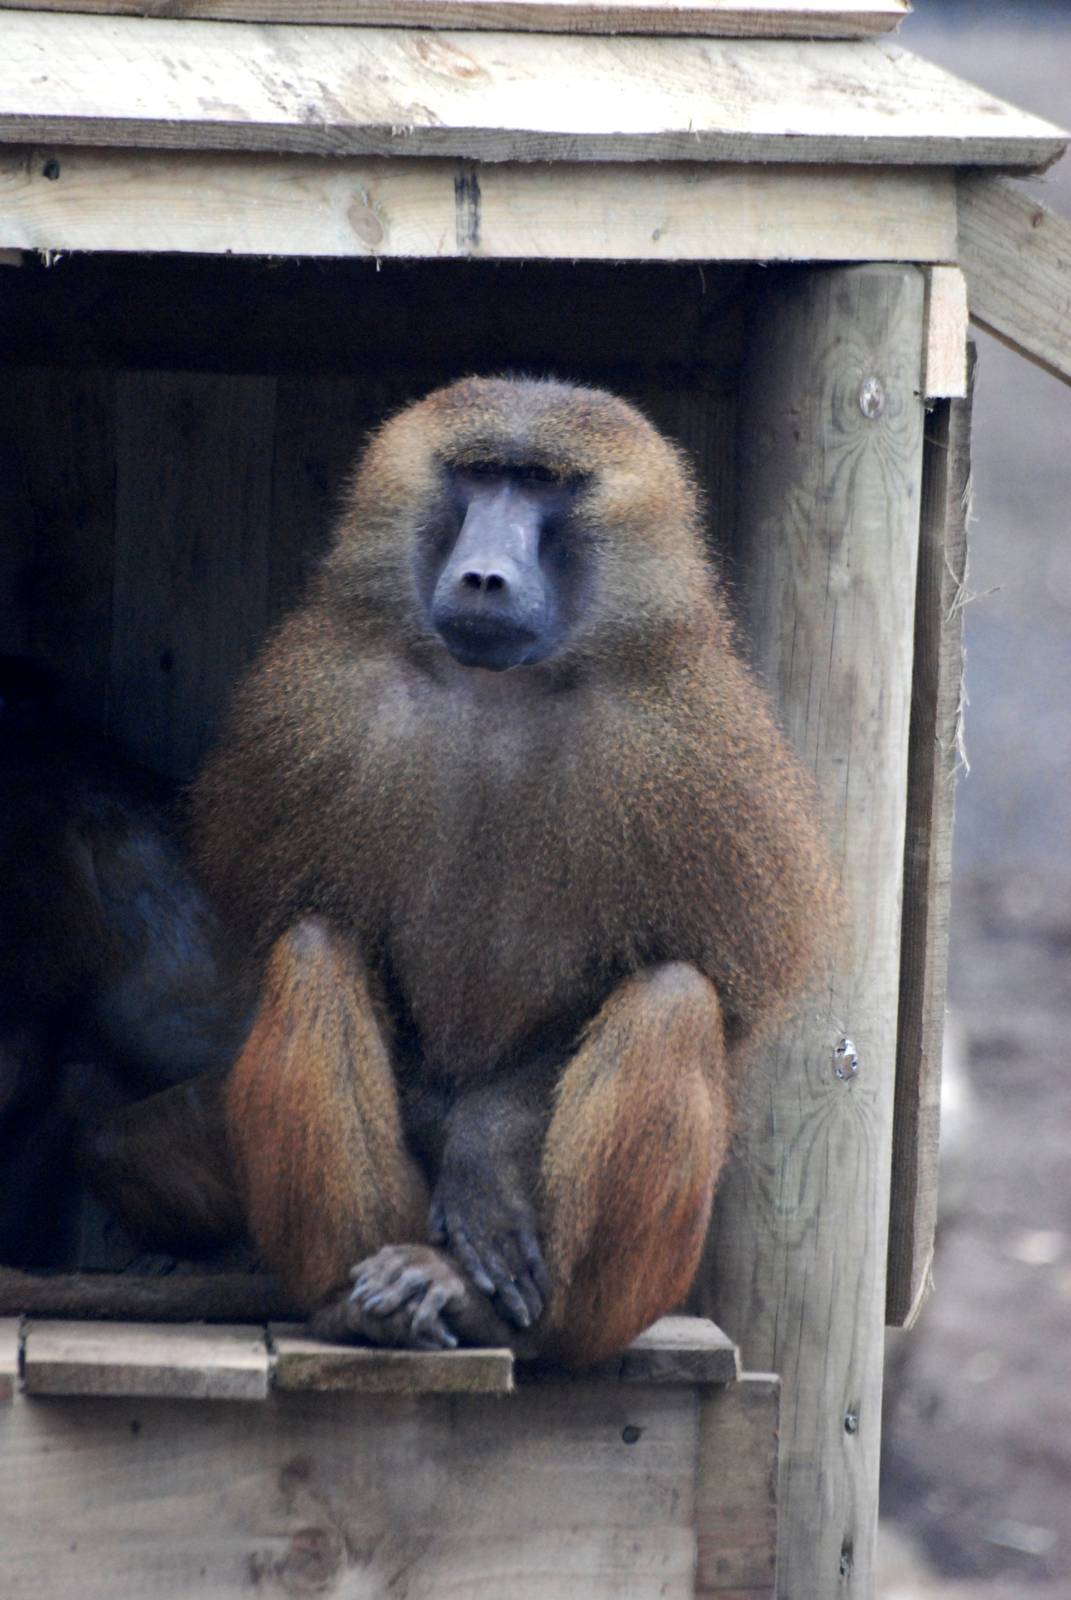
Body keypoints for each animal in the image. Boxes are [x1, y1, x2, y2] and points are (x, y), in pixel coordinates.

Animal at [174, 375, 833, 1366]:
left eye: (542, 483)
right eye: (481, 473)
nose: (484, 575)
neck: (502, 685)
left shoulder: (695, 749)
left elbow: (724, 998)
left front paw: (483, 1157)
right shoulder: (315, 704)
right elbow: (282, 947)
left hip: (619, 1305)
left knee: (672, 1002)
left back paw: (500, 1317)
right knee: (314, 953)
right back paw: (357, 1303)